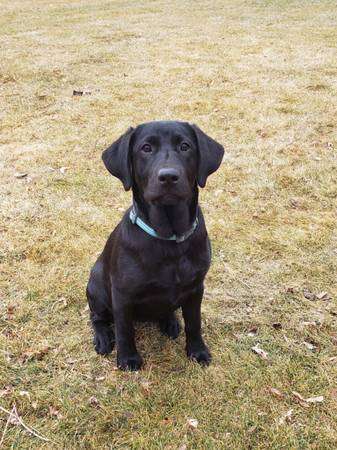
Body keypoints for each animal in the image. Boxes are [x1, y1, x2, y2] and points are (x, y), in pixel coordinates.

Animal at [86, 119, 223, 370]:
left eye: (185, 146)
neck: (170, 240)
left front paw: (197, 350)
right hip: (97, 286)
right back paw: (102, 338)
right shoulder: (122, 295)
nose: (168, 177)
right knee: (98, 318)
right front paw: (128, 358)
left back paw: (170, 322)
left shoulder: (196, 288)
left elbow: (194, 323)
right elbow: (124, 329)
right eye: (146, 148)